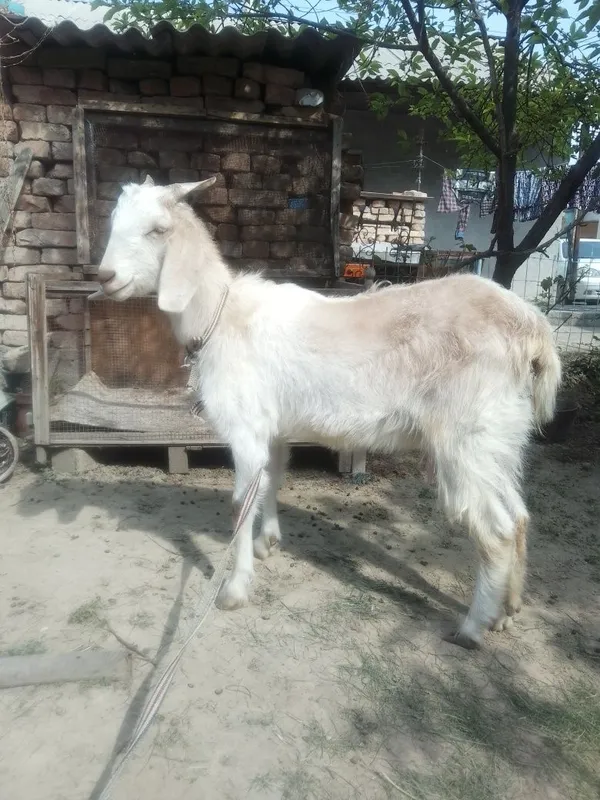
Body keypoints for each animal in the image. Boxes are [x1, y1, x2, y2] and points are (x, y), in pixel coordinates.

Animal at [98, 177, 561, 649]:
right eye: (114, 222)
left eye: (158, 230)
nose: (105, 276)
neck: (221, 315)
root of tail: (532, 330)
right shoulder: (274, 428)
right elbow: (272, 480)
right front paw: (269, 542)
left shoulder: (245, 427)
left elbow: (240, 503)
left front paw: (235, 587)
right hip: (500, 436)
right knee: (519, 516)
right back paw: (508, 610)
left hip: (467, 435)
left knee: (496, 530)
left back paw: (472, 627)